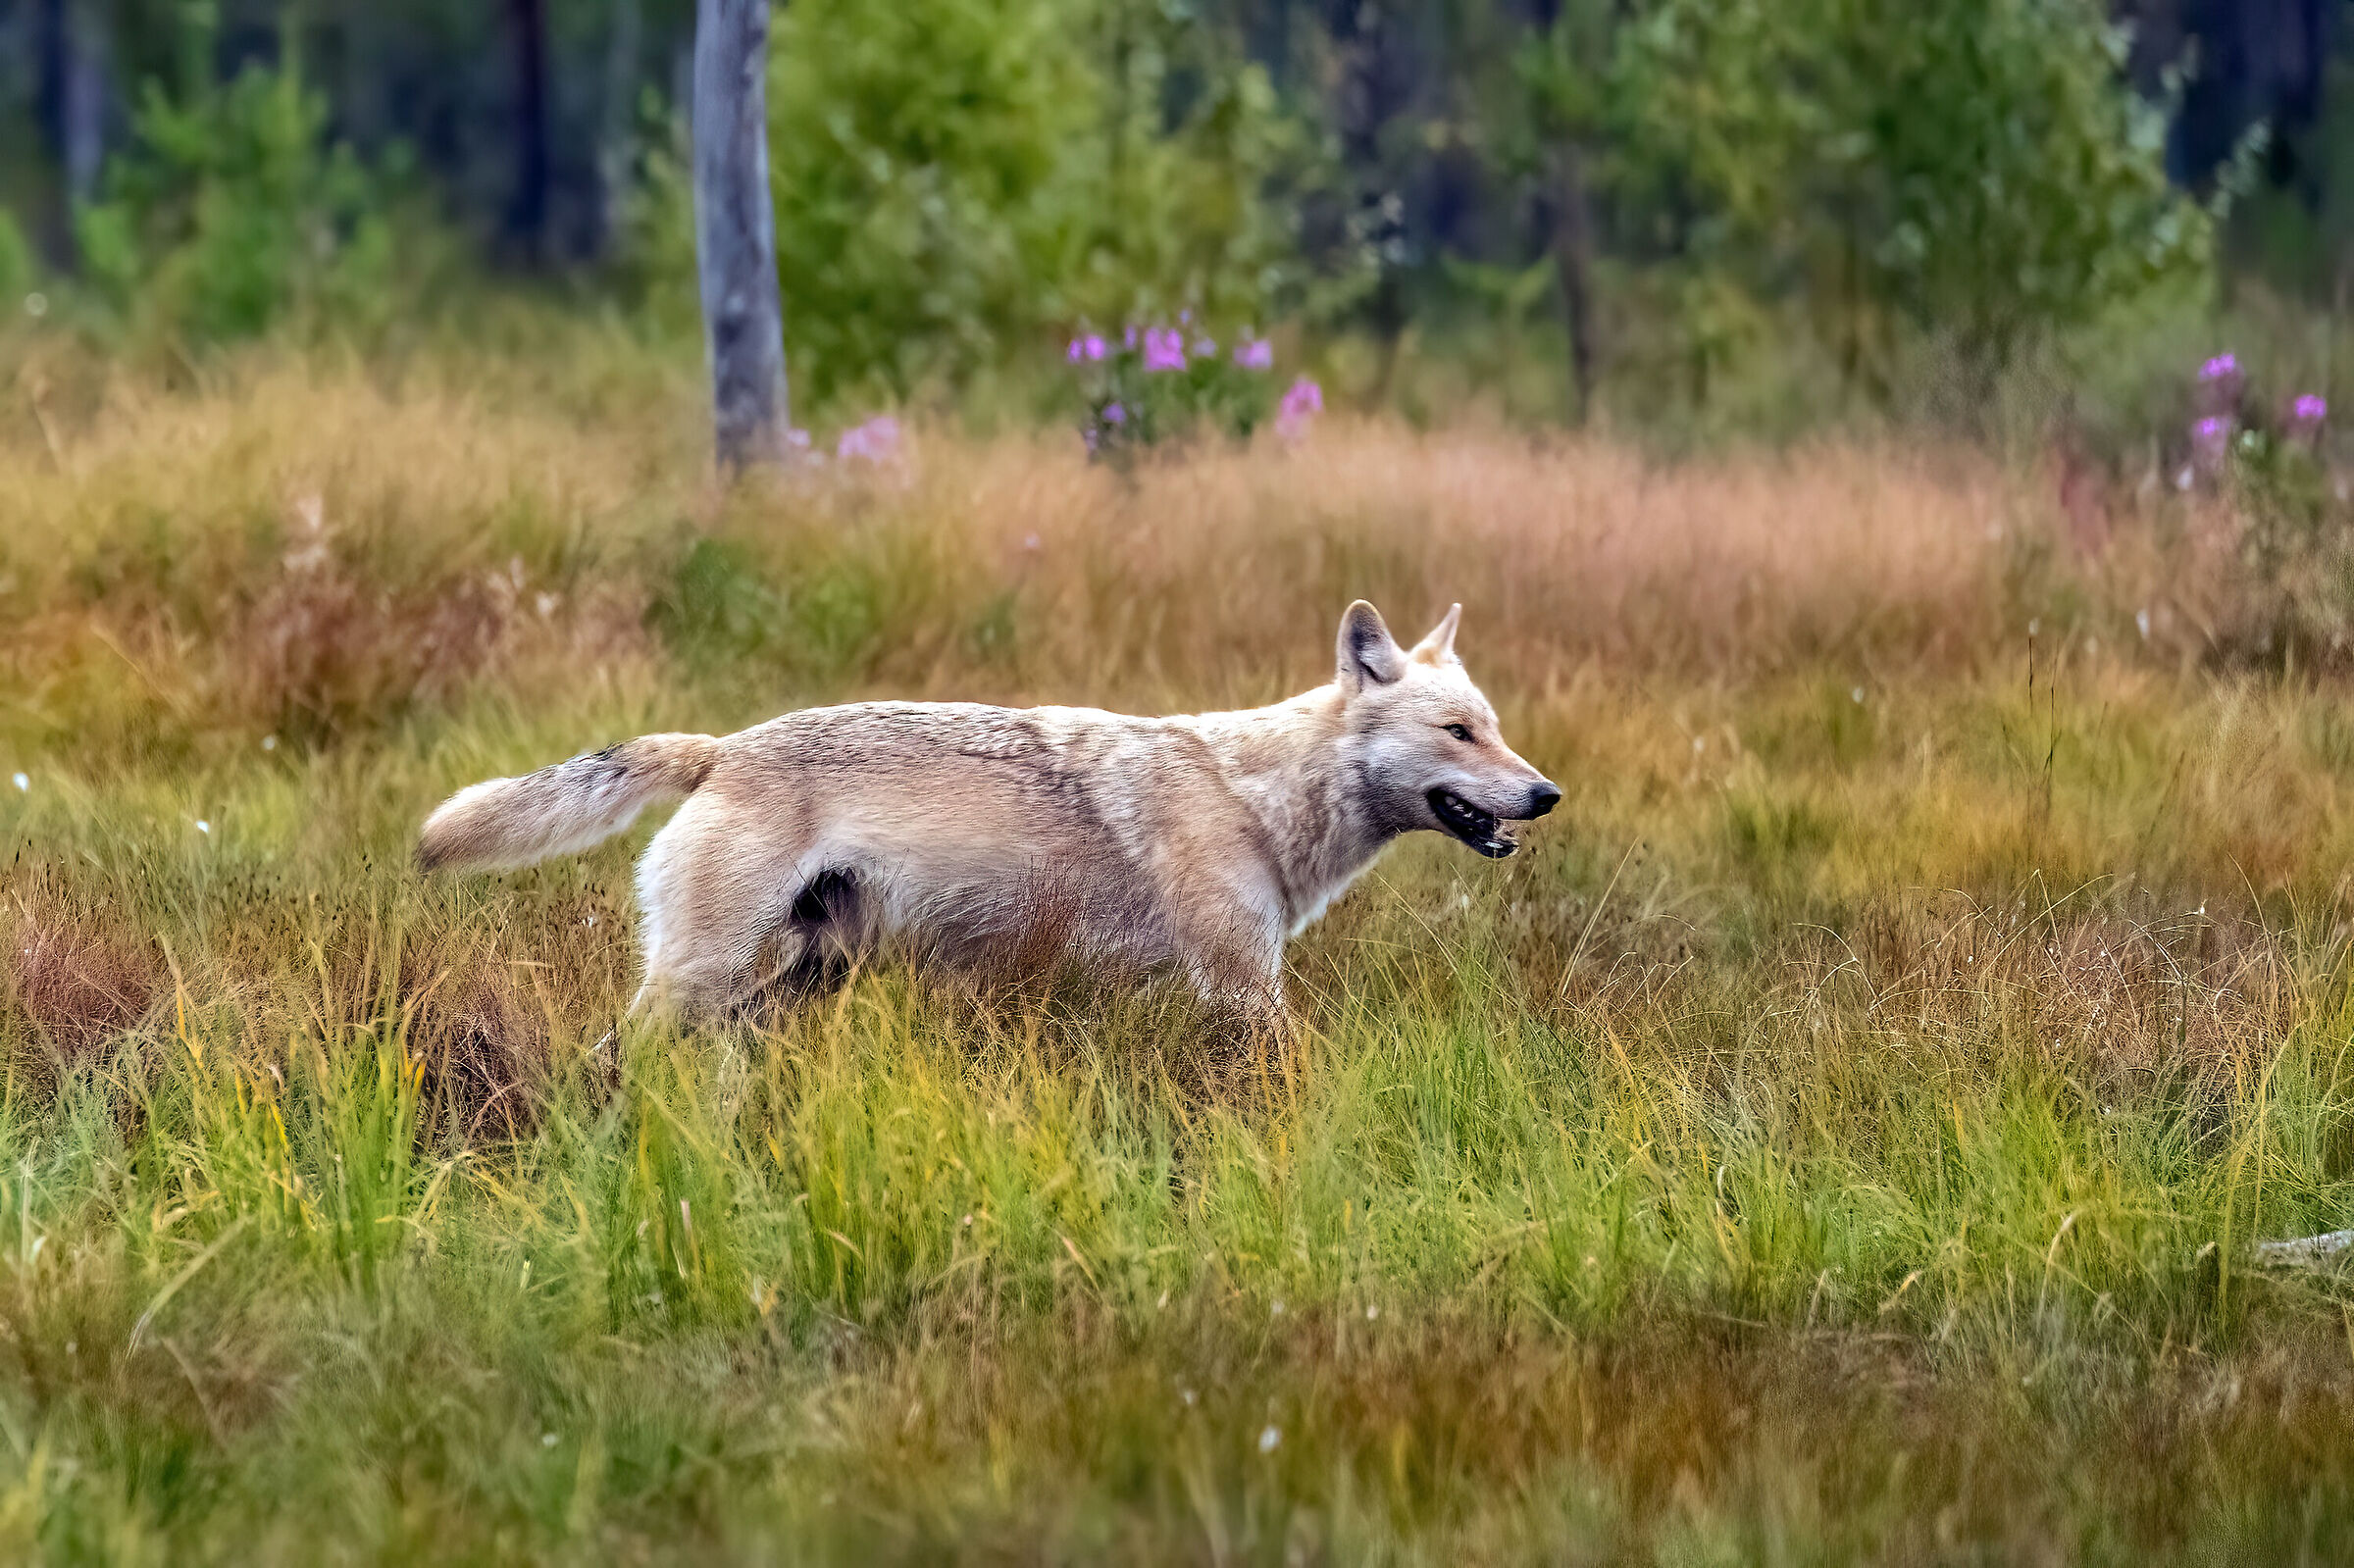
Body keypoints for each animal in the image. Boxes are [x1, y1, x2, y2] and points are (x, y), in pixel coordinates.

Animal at [417, 601, 1559, 1029]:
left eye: (1496, 730)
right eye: (1459, 732)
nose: (1546, 793)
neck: (1256, 796)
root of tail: (722, 748)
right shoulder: (1244, 987)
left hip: (800, 982)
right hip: (707, 978)